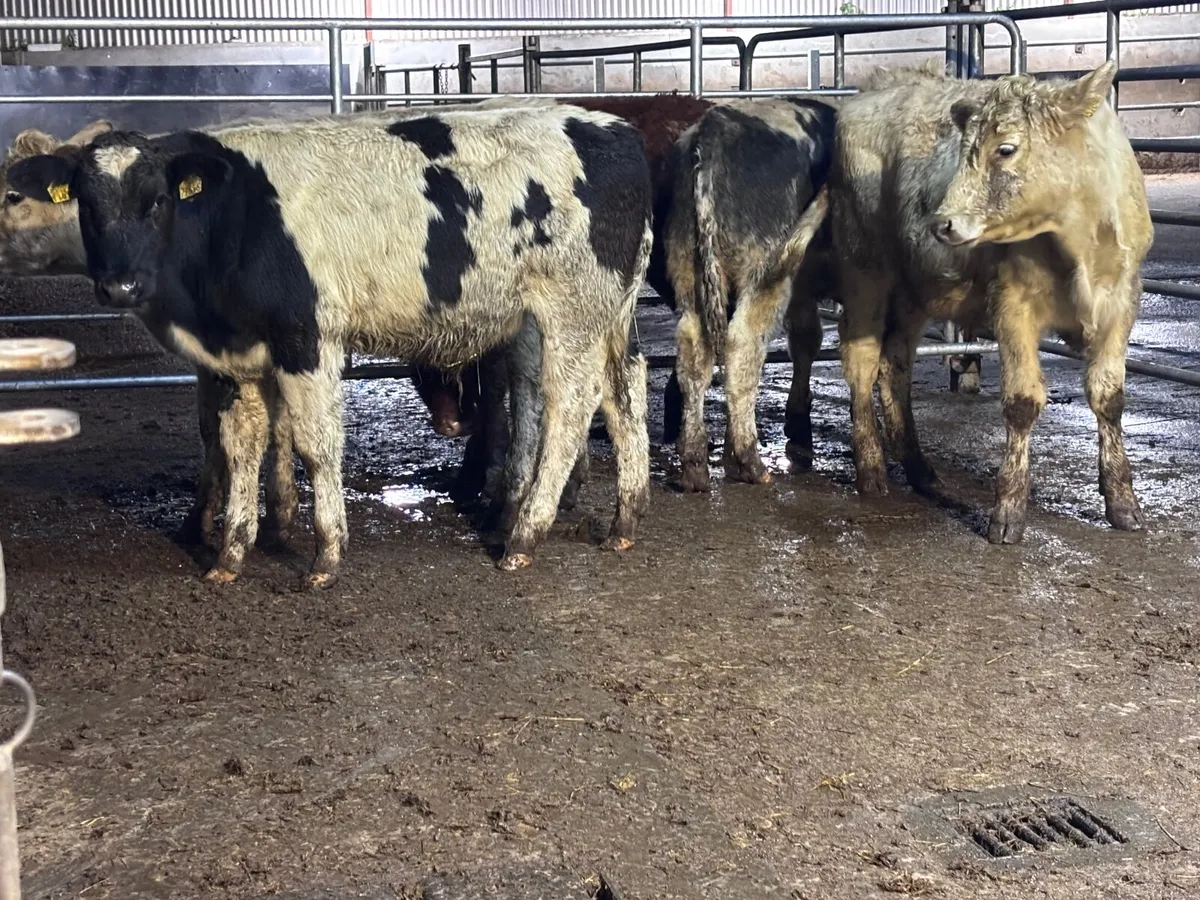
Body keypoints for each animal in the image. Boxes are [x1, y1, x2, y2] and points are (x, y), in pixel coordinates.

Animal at [8, 103, 654, 585]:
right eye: (87, 206)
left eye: (158, 201)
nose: (120, 285)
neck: (233, 219)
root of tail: (612, 127)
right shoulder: (236, 359)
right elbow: (240, 446)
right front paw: (231, 554)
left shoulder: (306, 336)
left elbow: (316, 447)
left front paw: (325, 554)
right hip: (607, 313)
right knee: (626, 392)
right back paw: (624, 521)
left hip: (571, 310)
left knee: (570, 405)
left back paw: (524, 535)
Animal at [661, 98, 835, 492]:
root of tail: (715, 127)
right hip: (764, 277)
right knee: (743, 346)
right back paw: (749, 461)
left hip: (691, 276)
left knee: (693, 354)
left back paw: (695, 463)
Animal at [828, 60, 1151, 542]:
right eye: (966, 148)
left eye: (1006, 149)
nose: (941, 223)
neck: (1078, 240)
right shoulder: (1013, 304)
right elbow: (1021, 402)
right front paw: (1009, 509)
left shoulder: (1121, 303)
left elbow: (1108, 396)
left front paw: (1122, 501)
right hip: (864, 270)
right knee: (862, 364)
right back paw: (871, 469)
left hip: (914, 290)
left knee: (895, 366)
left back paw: (919, 468)